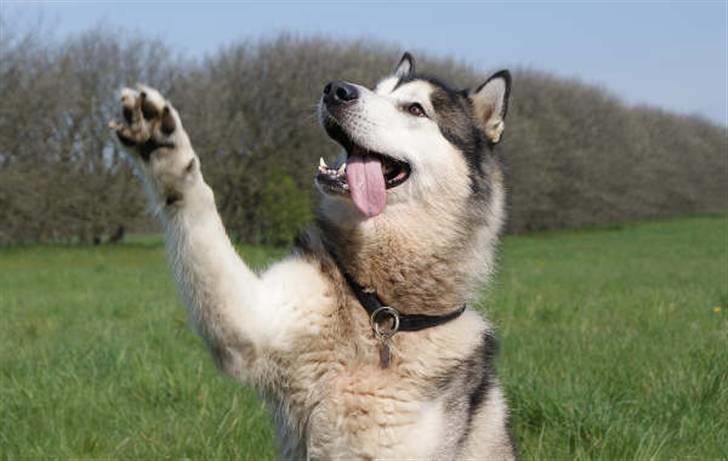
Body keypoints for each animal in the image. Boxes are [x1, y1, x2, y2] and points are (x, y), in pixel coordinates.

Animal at [111, 52, 516, 458]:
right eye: (378, 89)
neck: (381, 308)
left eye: (415, 109)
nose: (337, 89)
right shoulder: (252, 325)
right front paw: (162, 151)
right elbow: (200, 212)